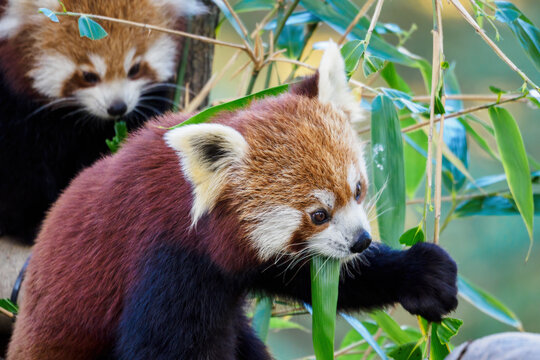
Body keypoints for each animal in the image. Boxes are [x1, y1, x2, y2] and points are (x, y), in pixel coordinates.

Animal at [0, 0, 205, 243]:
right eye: (88, 76)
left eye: (135, 69)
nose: (117, 107)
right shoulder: (17, 112)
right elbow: (21, 165)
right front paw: (32, 221)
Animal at [6, 43, 458, 358]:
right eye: (318, 214)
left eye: (359, 189)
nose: (362, 241)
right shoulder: (166, 262)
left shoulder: (242, 257)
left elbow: (309, 275)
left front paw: (420, 273)